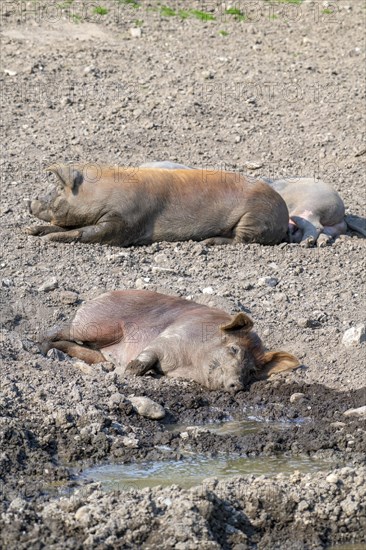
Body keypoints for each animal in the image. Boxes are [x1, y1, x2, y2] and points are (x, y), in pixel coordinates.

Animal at [27, 163, 288, 247]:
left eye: (57, 189)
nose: (31, 202)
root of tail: (285, 216)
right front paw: (31, 231)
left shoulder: (126, 220)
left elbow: (92, 232)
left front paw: (47, 239)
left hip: (254, 217)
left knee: (241, 239)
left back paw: (208, 242)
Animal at [40, 292, 300, 394]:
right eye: (234, 349)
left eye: (253, 371)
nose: (237, 384)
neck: (188, 365)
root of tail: (98, 297)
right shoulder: (167, 337)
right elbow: (147, 356)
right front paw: (131, 370)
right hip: (97, 325)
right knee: (65, 329)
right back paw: (40, 345)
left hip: (97, 350)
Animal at [143, 163, 366, 247]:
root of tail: (343, 214)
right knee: (325, 231)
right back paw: (316, 242)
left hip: (309, 206)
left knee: (314, 225)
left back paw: (305, 243)